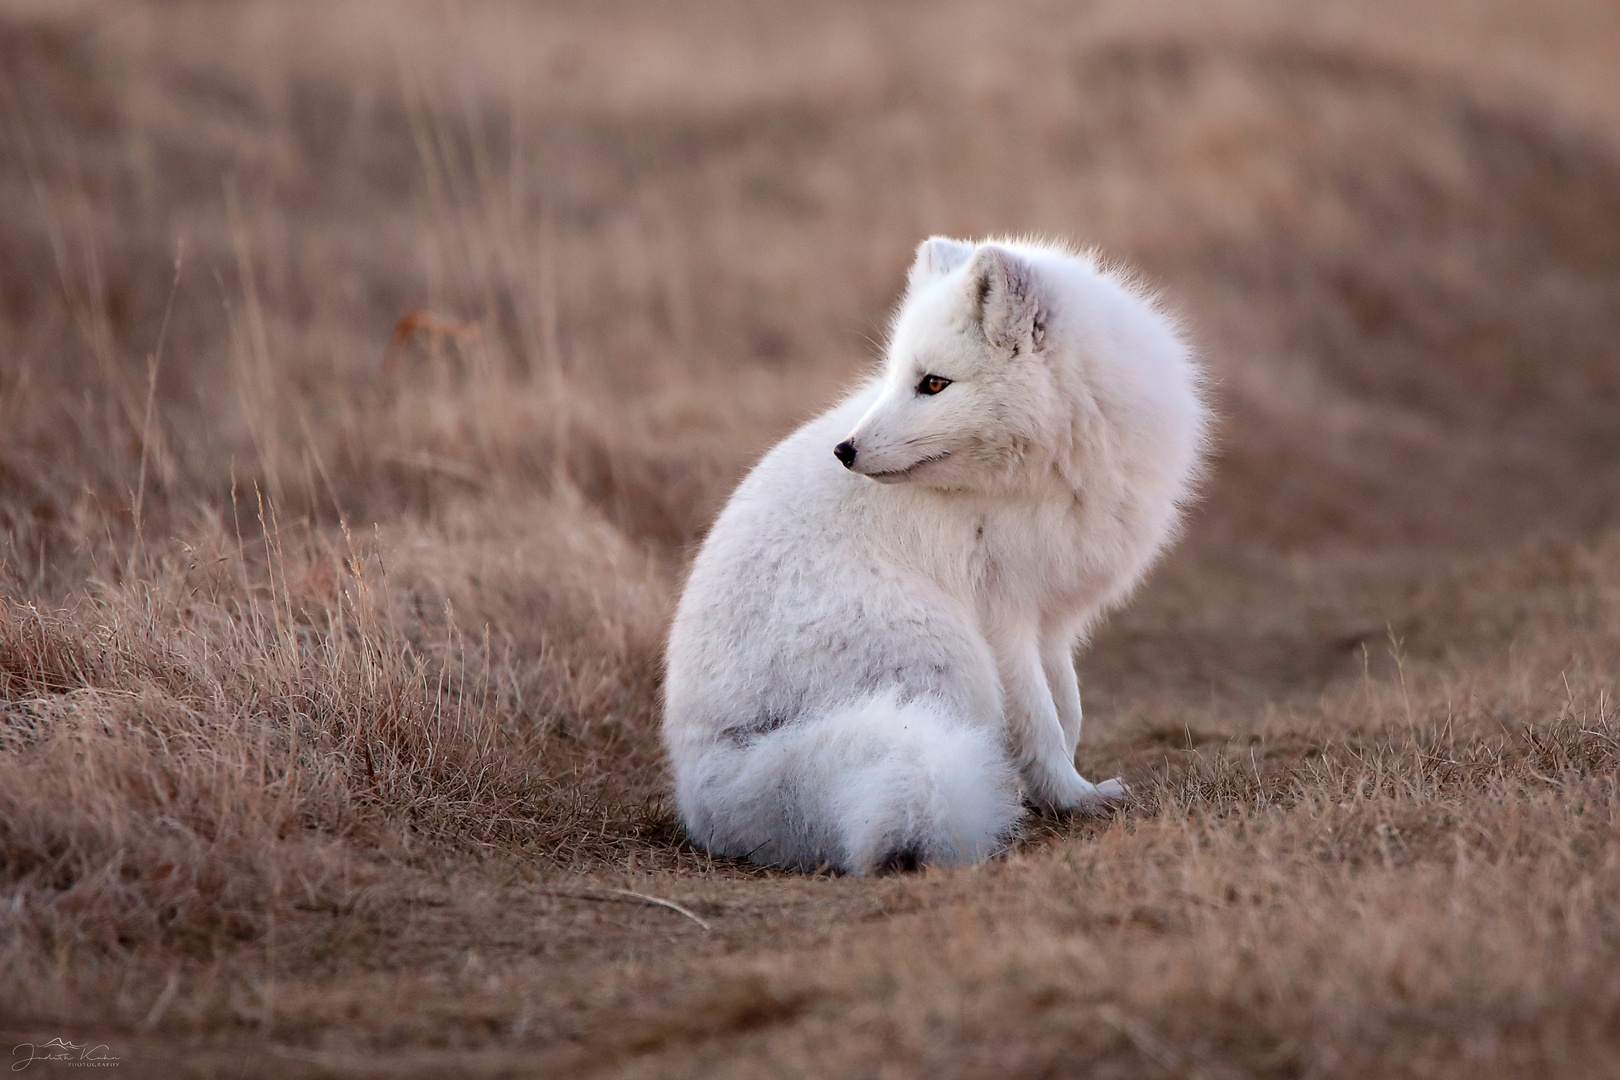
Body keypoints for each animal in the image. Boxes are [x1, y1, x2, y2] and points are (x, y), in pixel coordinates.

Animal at [657, 238, 1205, 880]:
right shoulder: (1002, 617)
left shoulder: (1050, 619)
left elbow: (1068, 709)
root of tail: (706, 782)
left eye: (934, 384)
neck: (1047, 471)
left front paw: (1063, 788)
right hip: (950, 654)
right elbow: (1040, 723)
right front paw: (1074, 798)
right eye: (898, 375)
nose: (844, 450)